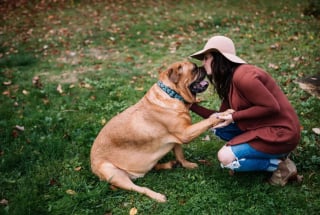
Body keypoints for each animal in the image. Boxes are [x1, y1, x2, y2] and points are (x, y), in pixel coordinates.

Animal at [90, 61, 232, 202]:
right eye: (194, 69)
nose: (203, 67)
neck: (172, 94)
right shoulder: (185, 133)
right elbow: (208, 121)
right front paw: (224, 113)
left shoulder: (177, 139)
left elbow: (180, 155)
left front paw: (186, 164)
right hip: (114, 174)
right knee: (140, 189)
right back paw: (157, 196)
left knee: (154, 167)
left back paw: (170, 164)